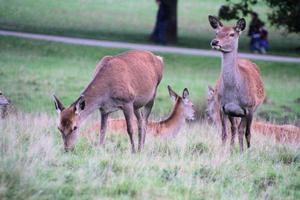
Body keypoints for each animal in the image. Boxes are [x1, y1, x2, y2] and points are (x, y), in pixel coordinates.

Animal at [209, 16, 264, 152]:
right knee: (234, 128)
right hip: (233, 113)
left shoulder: (249, 108)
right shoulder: (222, 107)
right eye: (217, 32)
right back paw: (233, 148)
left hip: (251, 109)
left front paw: (247, 152)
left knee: (241, 130)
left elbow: (248, 133)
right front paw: (224, 151)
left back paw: (241, 149)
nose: (215, 42)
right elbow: (224, 133)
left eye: (232, 34)